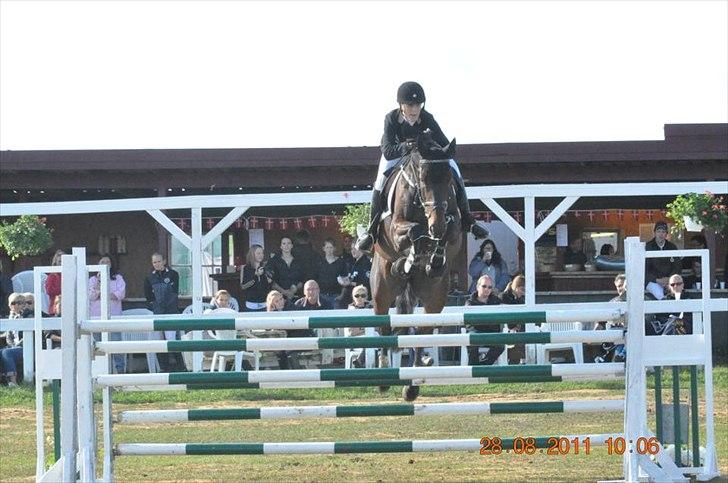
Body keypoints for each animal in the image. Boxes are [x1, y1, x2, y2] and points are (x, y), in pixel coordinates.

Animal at [372, 130, 464, 402]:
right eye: (422, 179)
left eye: (449, 179)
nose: (436, 224)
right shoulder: (396, 227)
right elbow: (412, 231)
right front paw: (411, 258)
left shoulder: (453, 225)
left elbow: (449, 231)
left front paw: (434, 259)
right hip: (382, 290)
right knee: (384, 326)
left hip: (434, 296)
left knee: (422, 330)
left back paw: (412, 385)